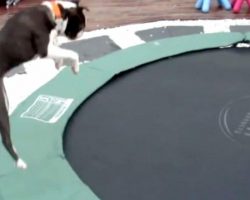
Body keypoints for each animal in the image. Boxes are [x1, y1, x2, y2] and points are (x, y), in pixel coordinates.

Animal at [0, 0, 88, 170]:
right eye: (81, 25)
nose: (82, 33)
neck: (56, 12)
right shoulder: (45, 49)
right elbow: (72, 53)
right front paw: (75, 67)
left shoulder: (51, 48)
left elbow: (60, 52)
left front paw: (59, 63)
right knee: (6, 138)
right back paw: (20, 163)